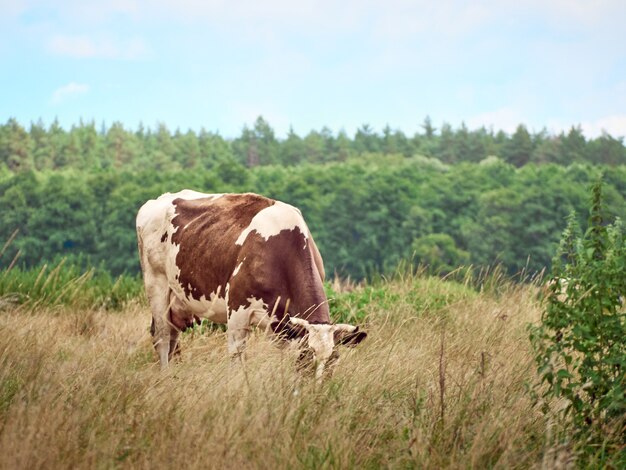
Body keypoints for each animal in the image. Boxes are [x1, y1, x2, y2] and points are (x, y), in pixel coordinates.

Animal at [134, 191, 364, 378]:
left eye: (334, 358)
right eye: (307, 356)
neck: (283, 252)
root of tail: (157, 200)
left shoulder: (283, 325)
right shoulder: (238, 309)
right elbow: (237, 357)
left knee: (172, 337)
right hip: (156, 284)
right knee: (162, 336)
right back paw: (165, 376)